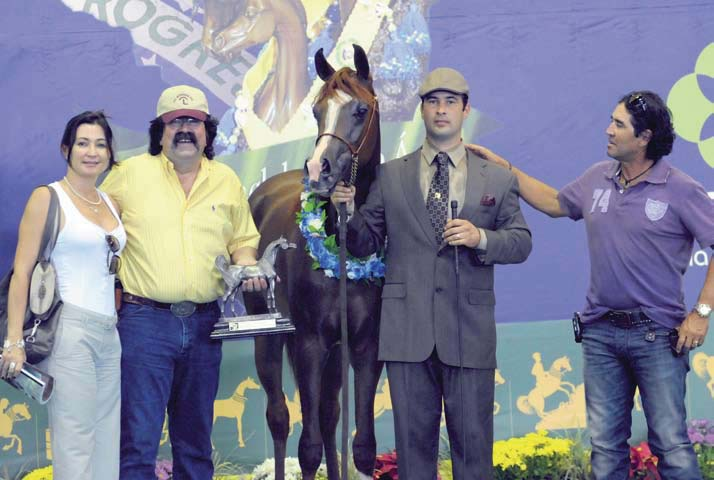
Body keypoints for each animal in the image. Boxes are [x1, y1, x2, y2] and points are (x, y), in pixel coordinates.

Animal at [248, 46, 386, 480]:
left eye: (360, 109)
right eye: (316, 109)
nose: (318, 170)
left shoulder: (365, 345)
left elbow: (361, 444)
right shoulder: (309, 343)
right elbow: (307, 448)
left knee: (328, 415)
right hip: (269, 336)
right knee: (279, 417)